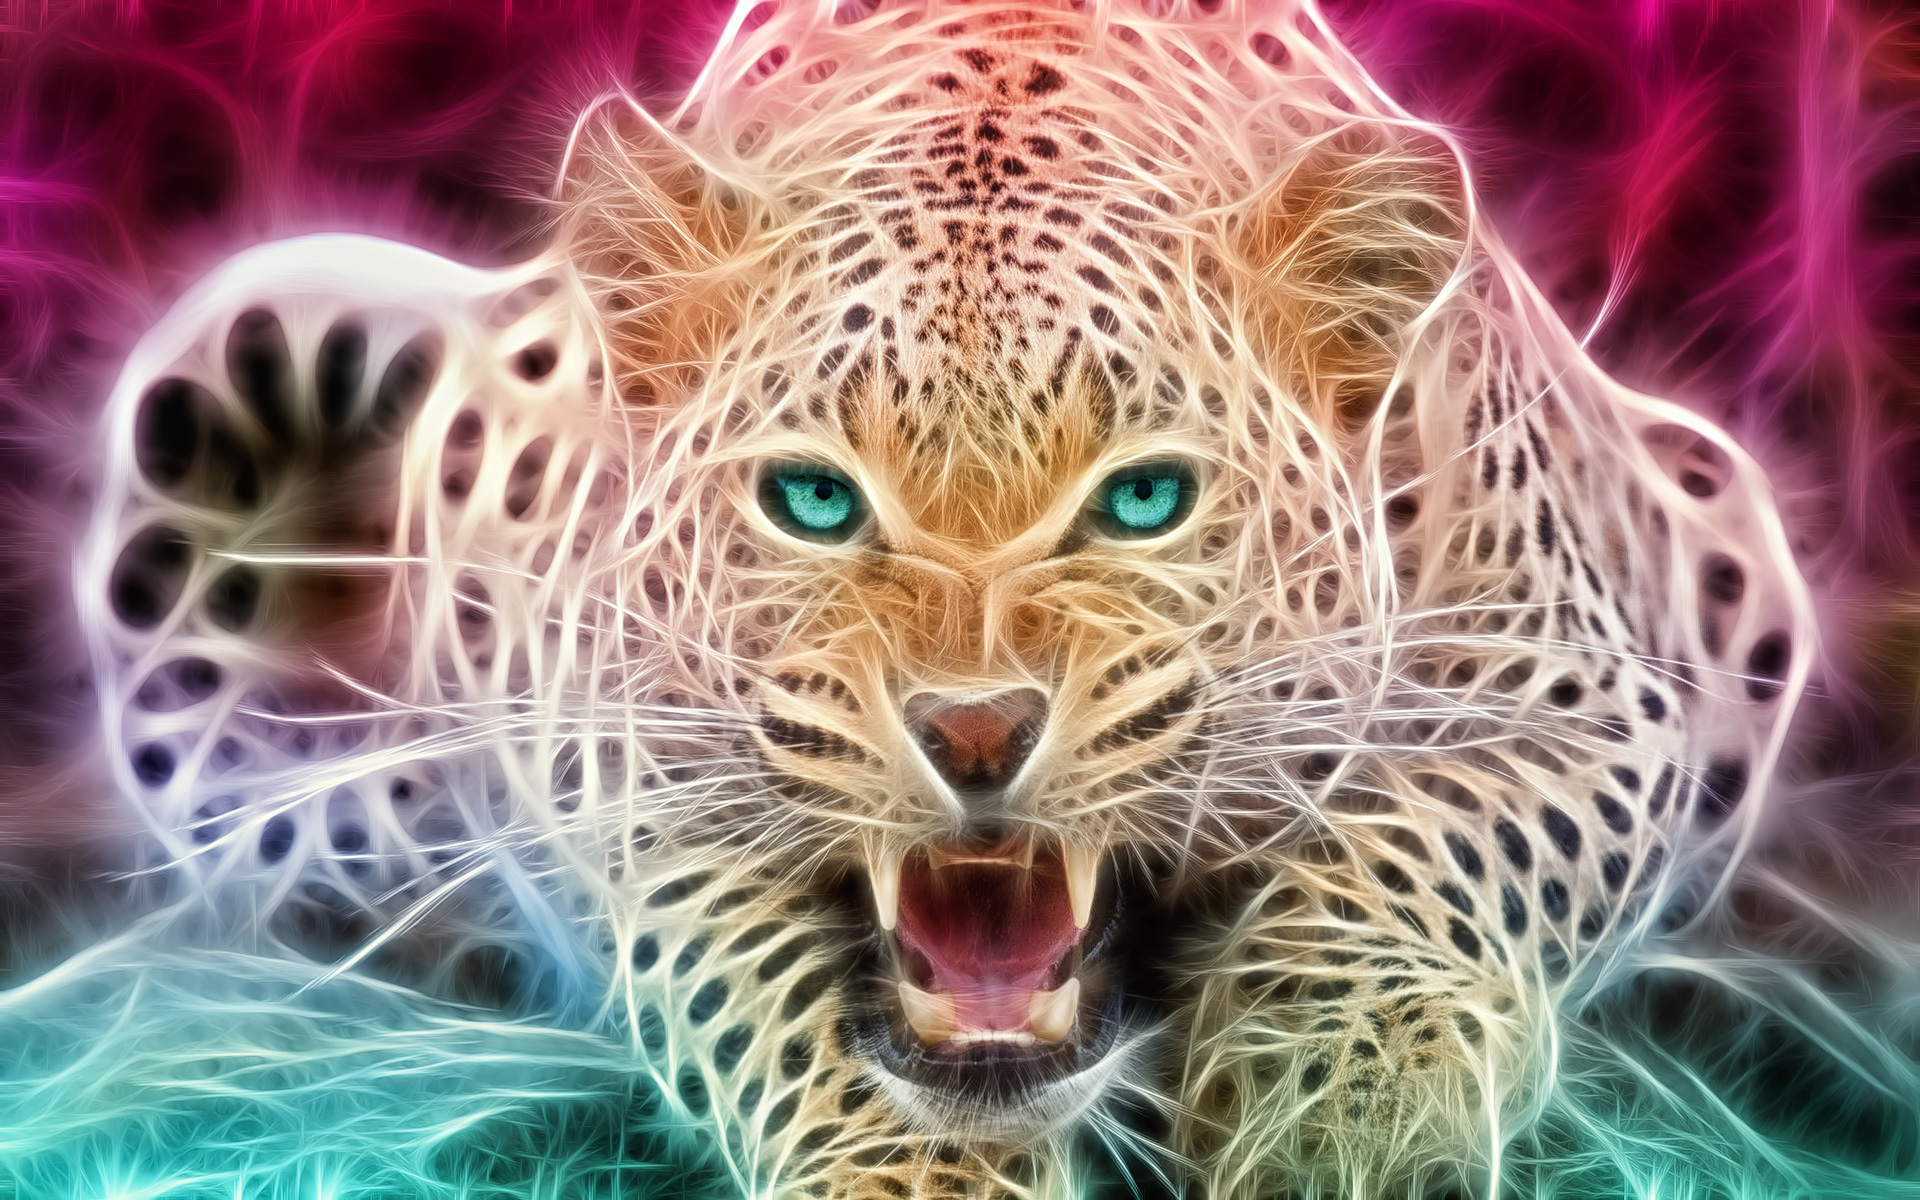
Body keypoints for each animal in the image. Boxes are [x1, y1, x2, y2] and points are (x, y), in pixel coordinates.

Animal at [73, 0, 1812, 1196]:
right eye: (814, 500)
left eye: (1145, 500)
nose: (975, 733)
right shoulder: (619, 743)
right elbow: (753, 972)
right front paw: (913, 1175)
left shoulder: (1592, 689)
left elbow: (1433, 845)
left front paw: (1346, 1105)